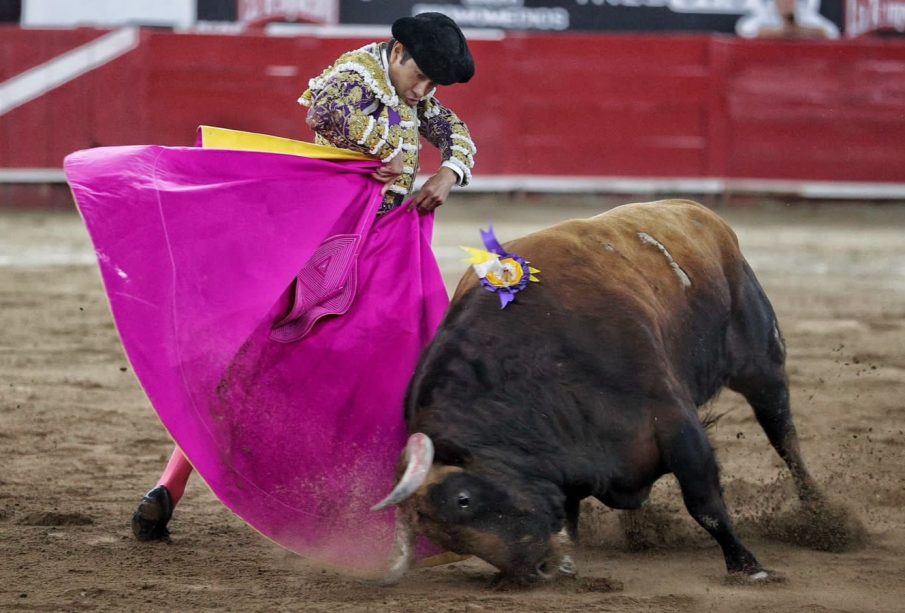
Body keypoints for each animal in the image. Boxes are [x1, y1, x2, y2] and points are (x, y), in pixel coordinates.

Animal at [372, 200, 828, 584]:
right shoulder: (567, 452)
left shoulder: (674, 421)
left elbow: (705, 503)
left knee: (784, 436)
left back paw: (822, 514)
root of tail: (701, 214)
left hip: (761, 365)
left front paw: (747, 566)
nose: (535, 570)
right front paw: (568, 564)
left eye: (463, 499)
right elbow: (569, 512)